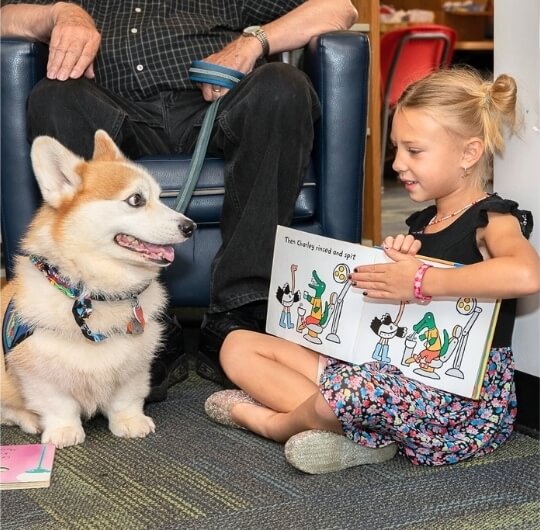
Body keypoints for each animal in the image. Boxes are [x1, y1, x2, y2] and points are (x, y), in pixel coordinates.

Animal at [1, 129, 195, 446]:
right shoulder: (38, 370)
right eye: (136, 199)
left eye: (159, 197)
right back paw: (29, 420)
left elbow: (126, 399)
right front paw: (64, 431)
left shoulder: (134, 367)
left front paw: (129, 422)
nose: (191, 227)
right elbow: (57, 404)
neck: (96, 295)